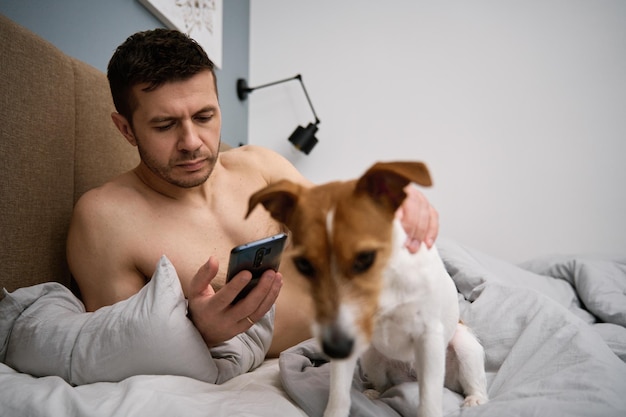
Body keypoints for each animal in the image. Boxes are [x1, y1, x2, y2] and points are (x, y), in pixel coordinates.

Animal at [246, 161, 486, 414]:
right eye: (303, 264)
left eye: (365, 258)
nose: (336, 349)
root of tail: (411, 378)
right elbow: (338, 396)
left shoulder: (428, 338)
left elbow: (429, 401)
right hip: (372, 356)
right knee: (385, 385)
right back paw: (374, 393)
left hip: (464, 347)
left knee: (472, 383)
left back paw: (475, 399)